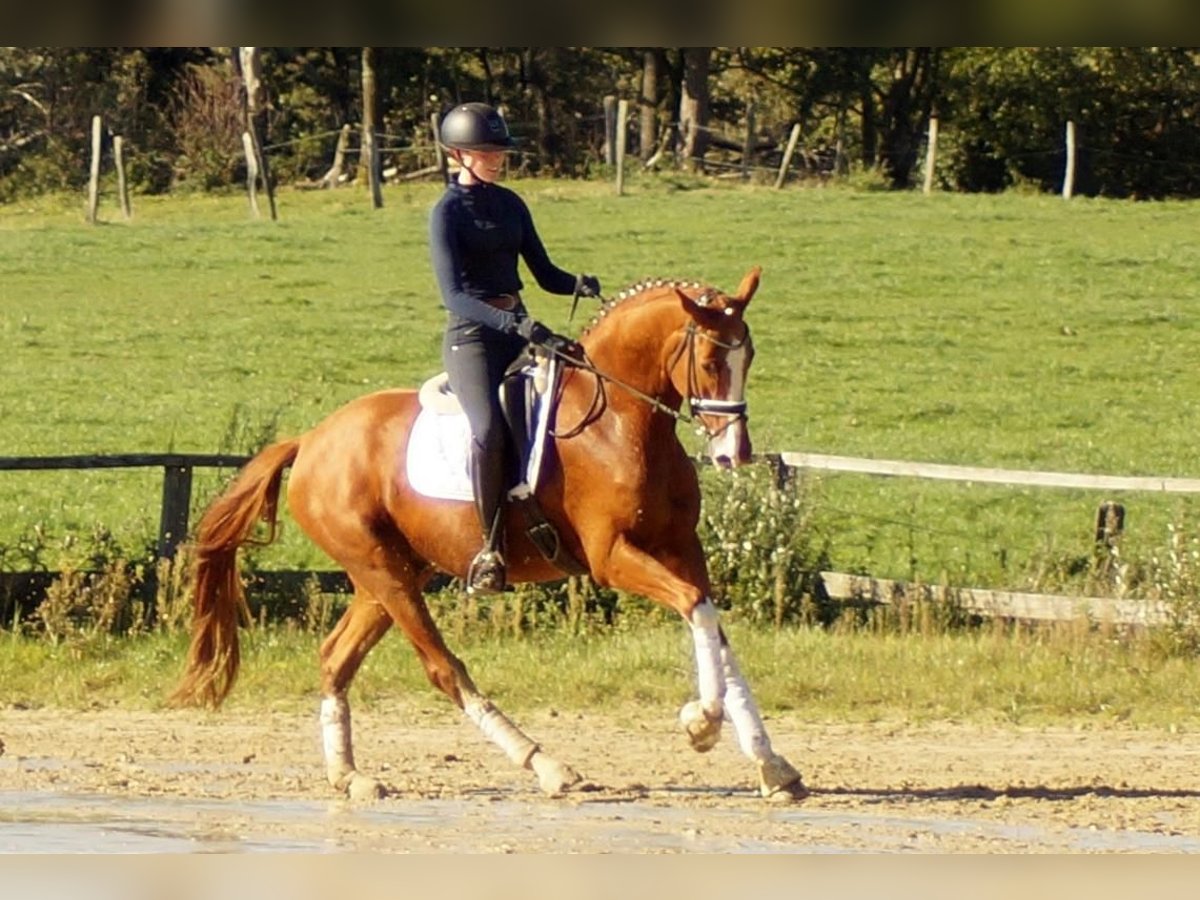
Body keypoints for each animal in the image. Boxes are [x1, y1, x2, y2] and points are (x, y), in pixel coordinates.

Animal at [169, 266, 806, 801]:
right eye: (710, 359)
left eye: (749, 353)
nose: (732, 453)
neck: (622, 422)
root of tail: (310, 441)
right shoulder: (612, 557)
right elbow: (696, 607)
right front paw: (701, 723)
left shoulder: (681, 548)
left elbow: (713, 626)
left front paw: (772, 766)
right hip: (385, 573)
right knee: (443, 668)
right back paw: (546, 766)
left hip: (388, 576)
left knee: (336, 658)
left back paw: (351, 777)